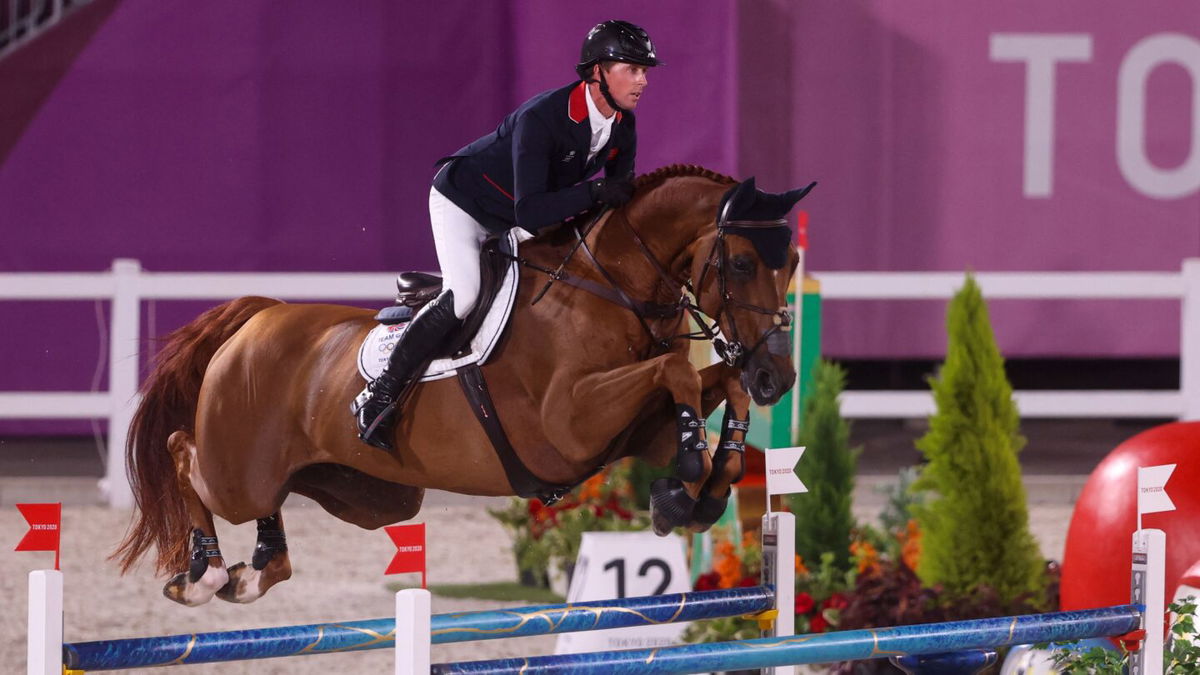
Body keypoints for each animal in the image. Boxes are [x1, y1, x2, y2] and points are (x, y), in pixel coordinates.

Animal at [114, 164, 806, 605]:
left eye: (793, 262)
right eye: (741, 263)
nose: (777, 377)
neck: (608, 289)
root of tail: (258, 316)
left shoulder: (641, 428)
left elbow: (712, 386)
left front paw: (700, 491)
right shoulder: (568, 424)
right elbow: (676, 372)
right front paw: (691, 473)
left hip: (369, 494)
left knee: (274, 500)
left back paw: (256, 570)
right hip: (239, 469)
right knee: (184, 454)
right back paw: (201, 574)